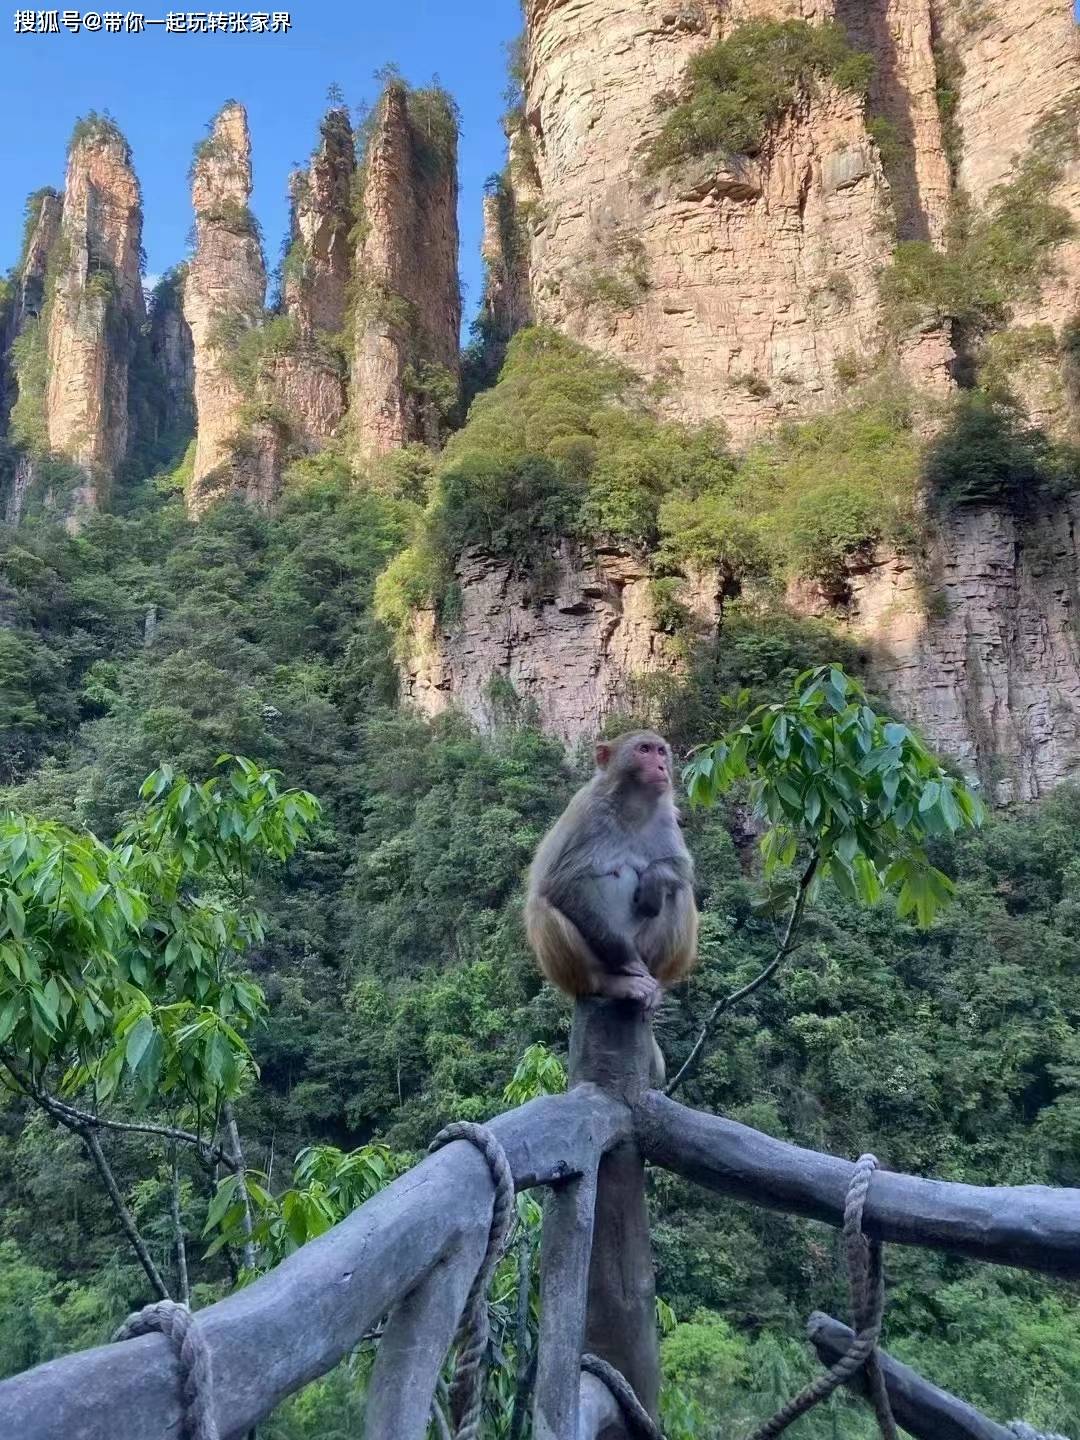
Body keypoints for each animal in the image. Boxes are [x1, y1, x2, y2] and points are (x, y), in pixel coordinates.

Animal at [527, 725, 702, 1019]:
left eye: (660, 751)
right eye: (644, 749)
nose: (661, 766)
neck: (632, 807)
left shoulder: (666, 815)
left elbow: (682, 865)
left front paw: (653, 880)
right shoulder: (587, 810)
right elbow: (560, 882)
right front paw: (627, 959)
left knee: (679, 890)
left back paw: (656, 986)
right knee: (542, 905)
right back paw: (612, 984)